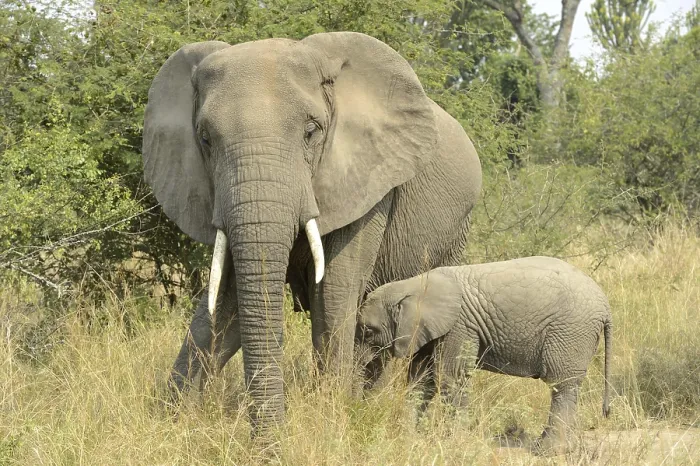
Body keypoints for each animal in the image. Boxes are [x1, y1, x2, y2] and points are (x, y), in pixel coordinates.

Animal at [141, 31, 482, 434]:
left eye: (311, 132)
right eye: (205, 139)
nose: (269, 439)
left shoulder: (369, 182)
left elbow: (334, 288)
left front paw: (334, 414)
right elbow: (230, 298)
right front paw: (170, 418)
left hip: (457, 230)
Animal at [355, 256, 612, 453]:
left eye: (369, 330)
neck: (413, 285)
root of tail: (605, 305)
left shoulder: (459, 327)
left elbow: (451, 376)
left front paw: (454, 440)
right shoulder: (432, 330)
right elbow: (421, 379)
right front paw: (408, 435)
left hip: (571, 332)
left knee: (561, 385)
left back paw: (547, 451)